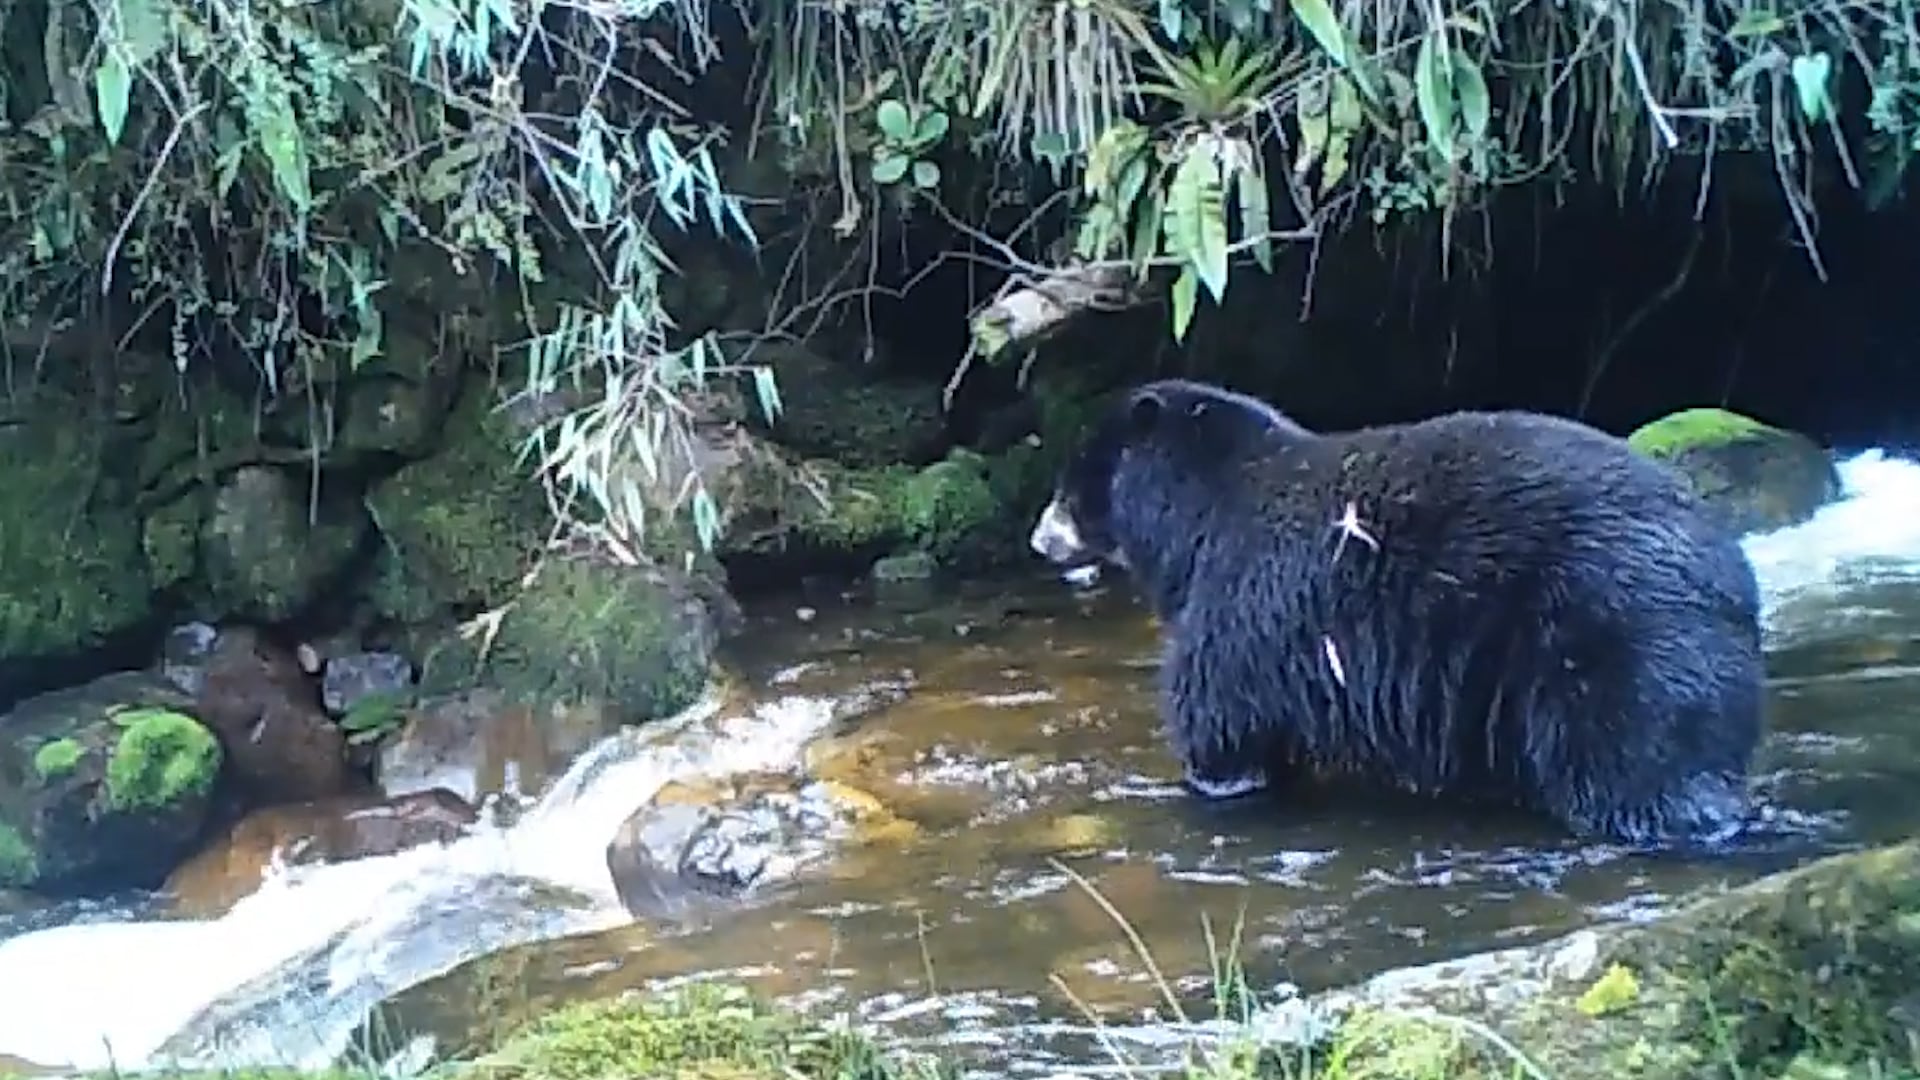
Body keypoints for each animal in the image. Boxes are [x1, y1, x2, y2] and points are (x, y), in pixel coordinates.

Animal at [1028, 378, 1767, 848]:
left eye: (1070, 484)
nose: (1039, 539)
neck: (1197, 522)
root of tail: (1733, 578)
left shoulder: (1242, 601)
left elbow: (1222, 720)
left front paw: (1215, 779)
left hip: (1611, 635)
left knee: (1628, 756)